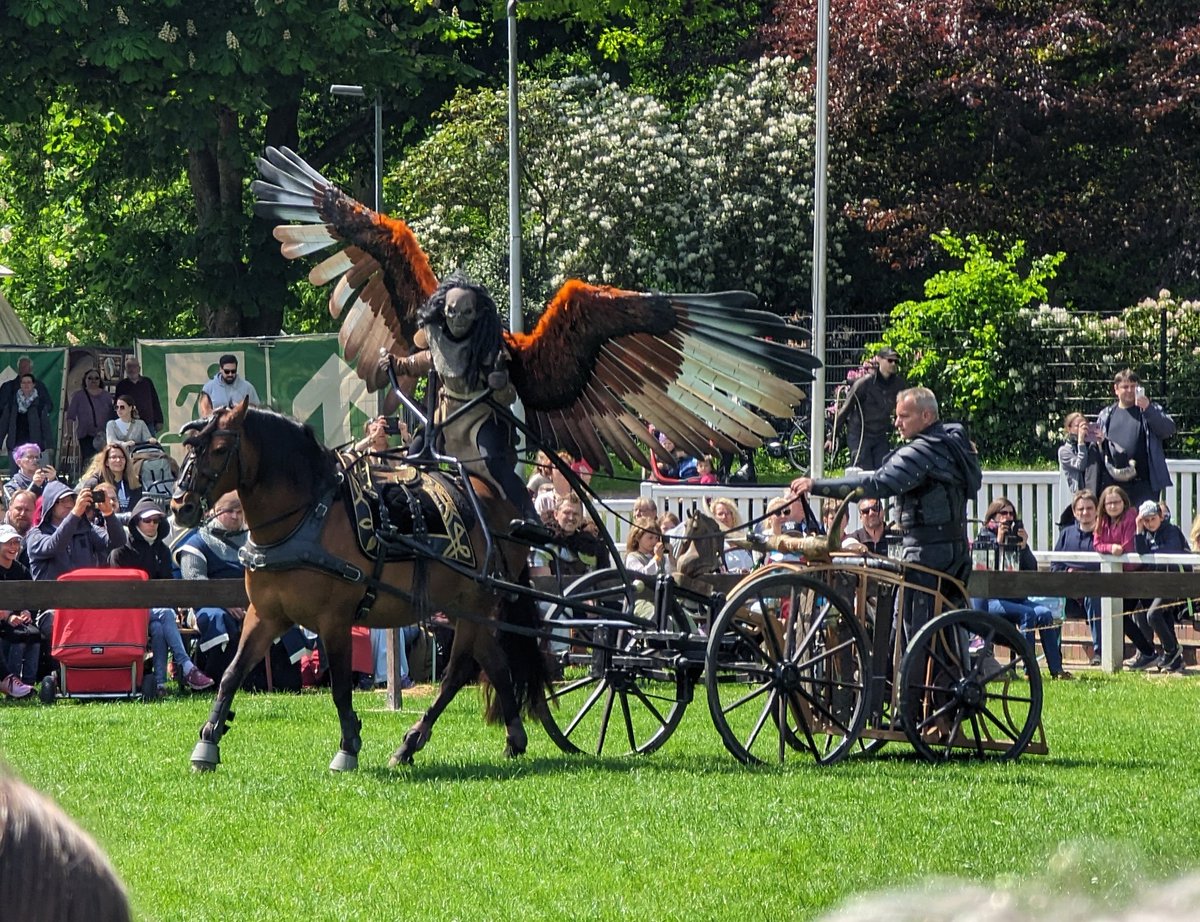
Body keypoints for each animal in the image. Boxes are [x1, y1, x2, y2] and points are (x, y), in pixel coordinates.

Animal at [171, 396, 549, 768]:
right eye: (190, 446)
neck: (307, 519)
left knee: (456, 673)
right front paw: (208, 741)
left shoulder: (334, 620)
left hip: (474, 605)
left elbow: (340, 688)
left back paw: (412, 741)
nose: (179, 506)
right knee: (496, 664)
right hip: (460, 608)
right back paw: (512, 739)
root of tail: (500, 502)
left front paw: (348, 747)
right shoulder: (265, 615)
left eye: (220, 449)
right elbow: (231, 675)